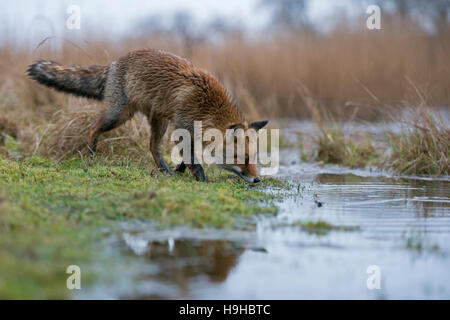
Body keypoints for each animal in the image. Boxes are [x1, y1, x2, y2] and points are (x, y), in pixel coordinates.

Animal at [27, 48, 268, 182]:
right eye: (242, 158)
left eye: (254, 158)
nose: (257, 179)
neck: (208, 106)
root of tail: (114, 63)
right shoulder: (183, 128)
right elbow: (194, 161)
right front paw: (203, 180)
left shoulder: (191, 133)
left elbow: (187, 158)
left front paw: (180, 170)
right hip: (118, 115)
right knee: (93, 128)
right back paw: (90, 153)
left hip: (159, 122)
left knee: (153, 148)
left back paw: (165, 171)